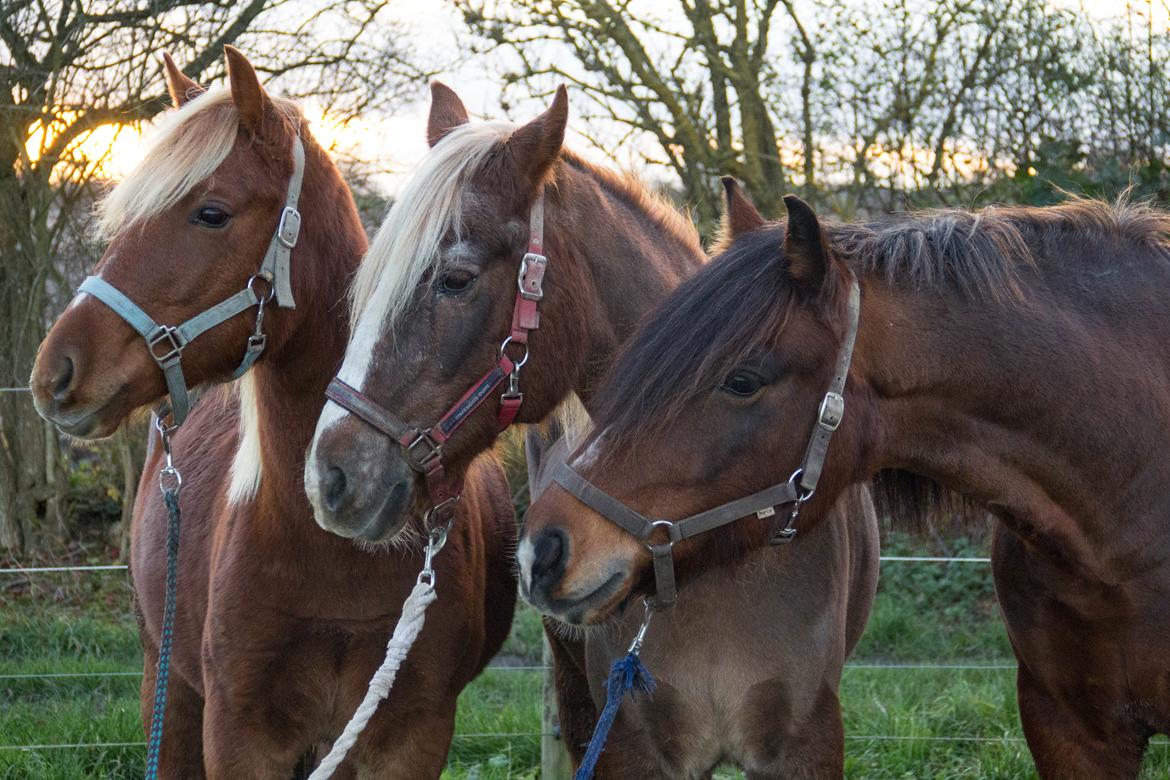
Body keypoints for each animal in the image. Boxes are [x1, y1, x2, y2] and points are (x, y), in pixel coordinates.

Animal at [30, 47, 517, 776]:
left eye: (211, 213)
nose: (55, 372)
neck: (330, 554)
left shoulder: (412, 734)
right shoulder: (237, 730)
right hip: (165, 684)